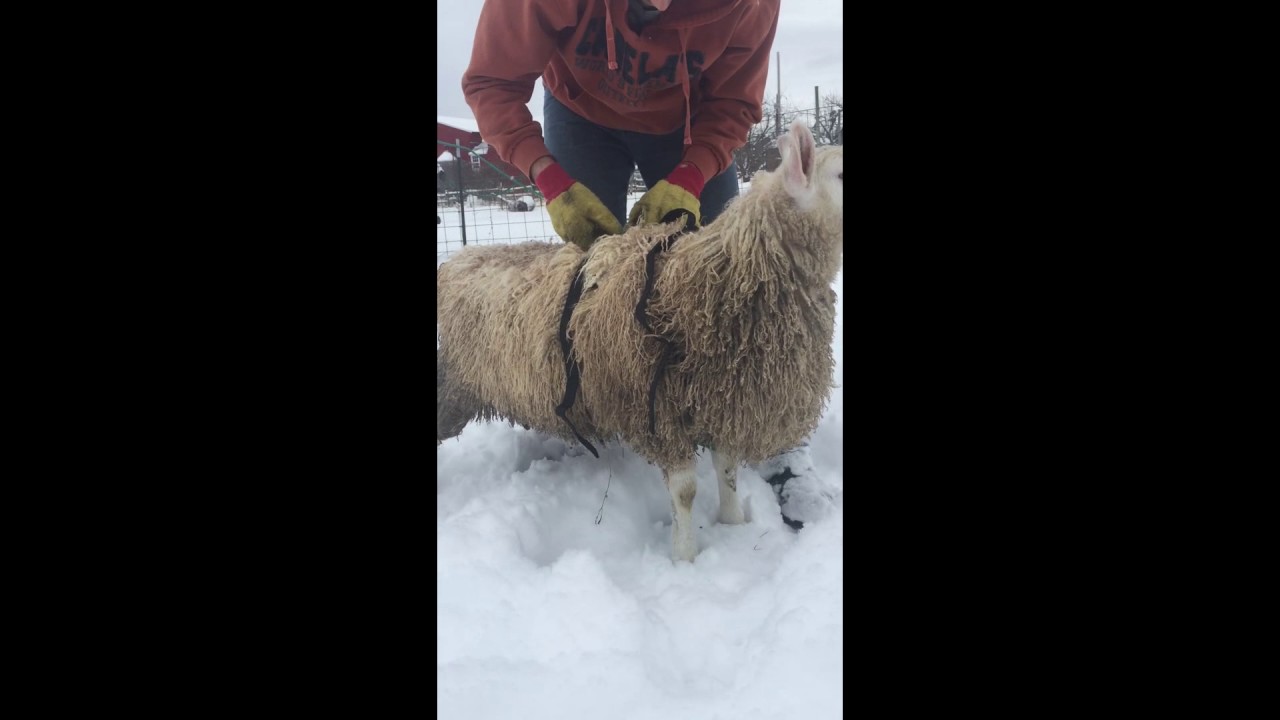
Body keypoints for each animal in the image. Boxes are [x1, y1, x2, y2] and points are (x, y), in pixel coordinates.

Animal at [436, 120, 843, 562]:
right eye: (842, 175)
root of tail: (453, 261)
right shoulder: (656, 411)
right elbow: (685, 492)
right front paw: (685, 557)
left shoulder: (723, 403)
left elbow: (728, 470)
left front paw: (733, 525)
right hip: (450, 388)